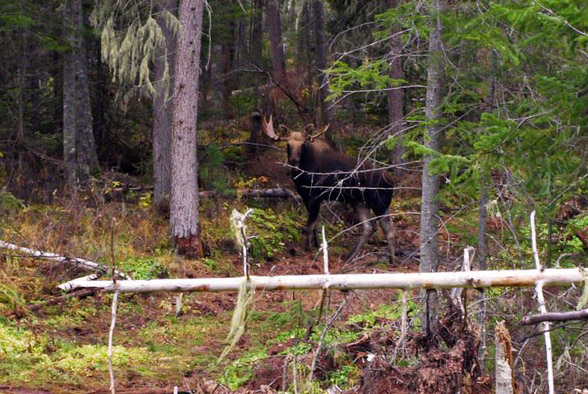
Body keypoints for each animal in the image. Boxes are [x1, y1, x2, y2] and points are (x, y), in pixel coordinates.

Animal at [264, 114, 398, 262]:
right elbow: (315, 223)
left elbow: (309, 224)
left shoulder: (315, 195)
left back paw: (392, 260)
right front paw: (316, 244)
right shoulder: (305, 196)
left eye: (303, 144)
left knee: (388, 230)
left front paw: (307, 248)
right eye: (288, 144)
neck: (304, 173)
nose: (293, 161)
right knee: (370, 227)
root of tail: (392, 182)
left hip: (378, 203)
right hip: (360, 202)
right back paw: (351, 256)